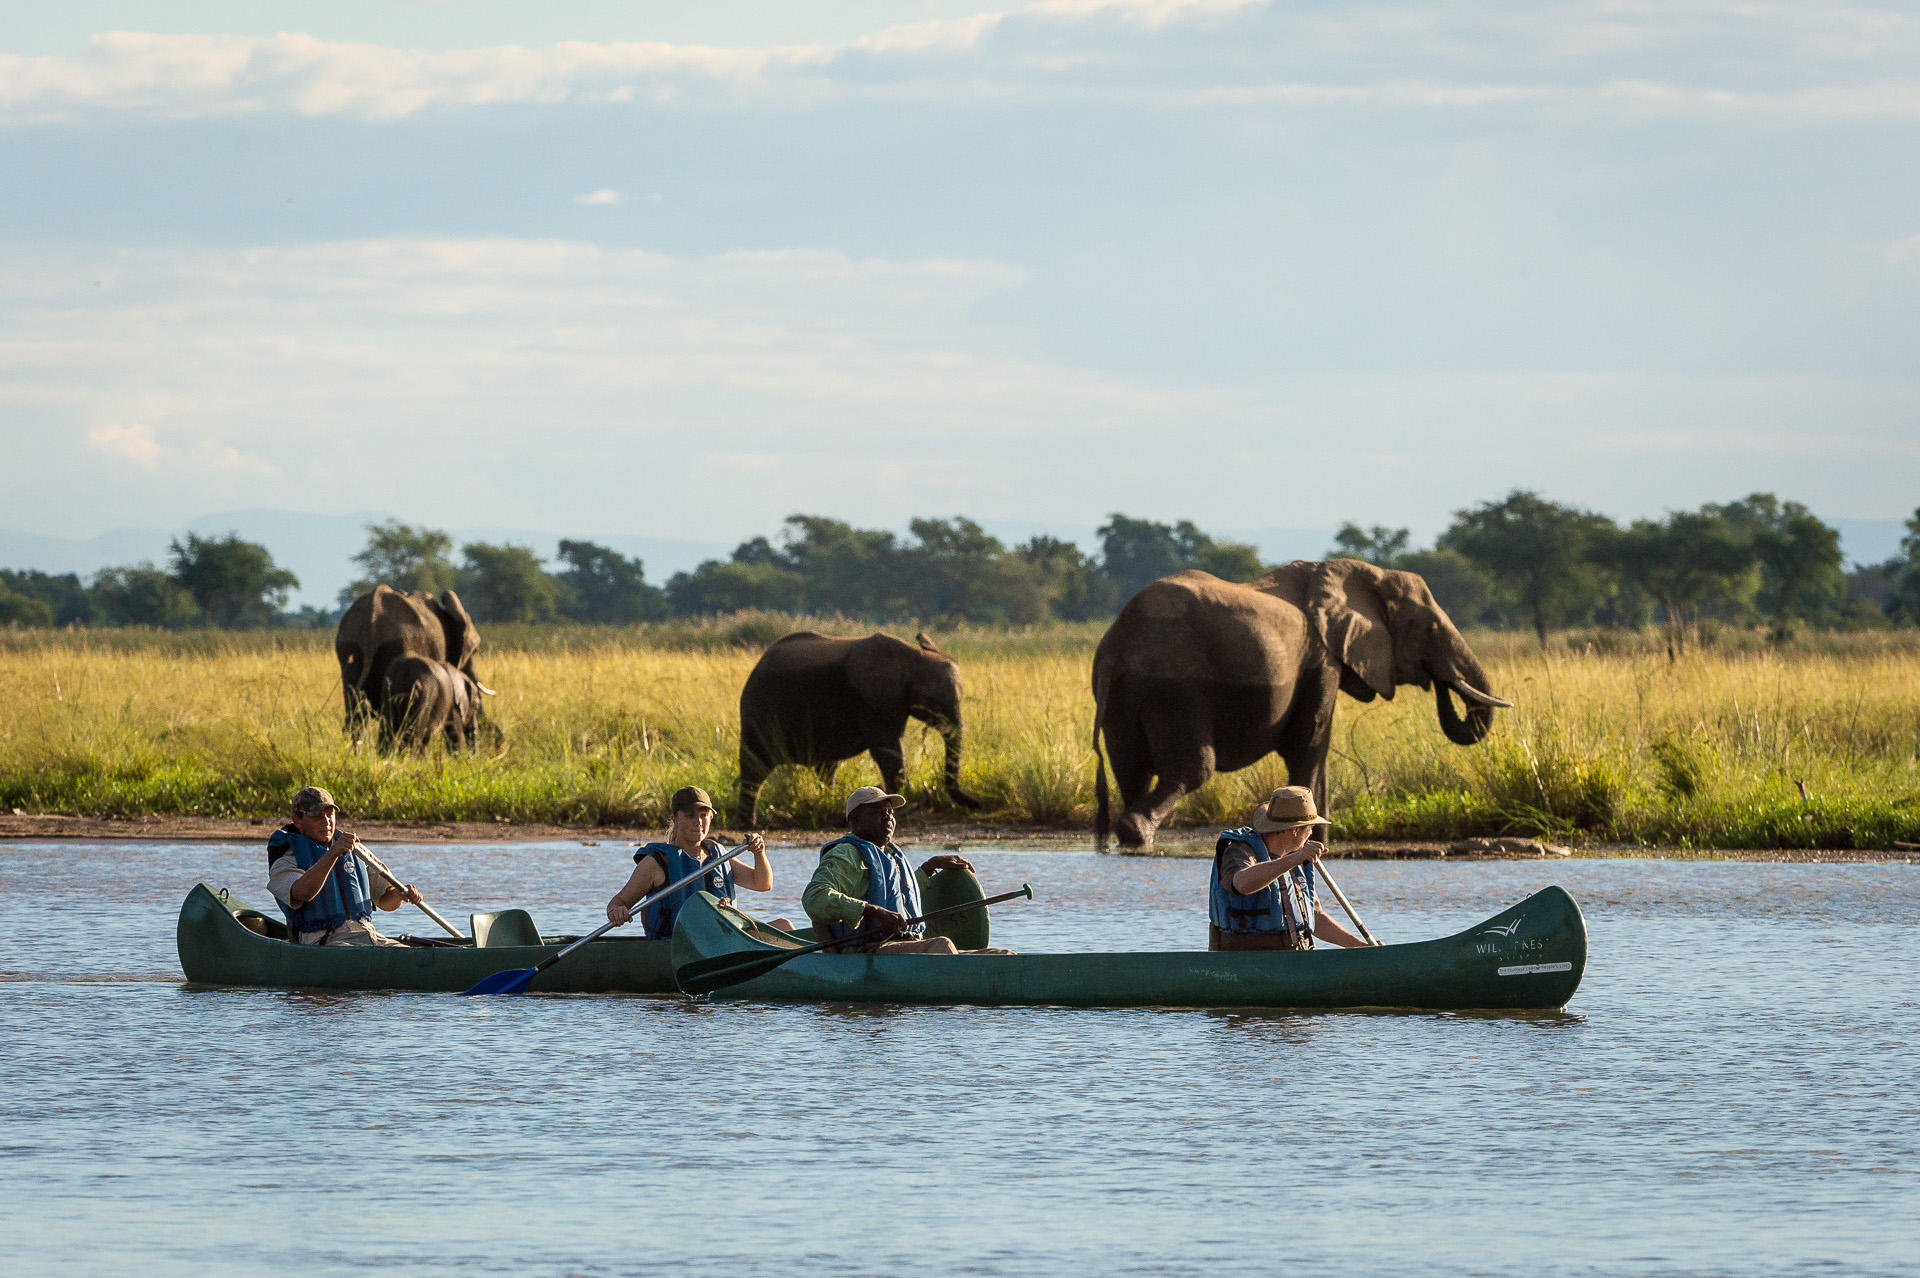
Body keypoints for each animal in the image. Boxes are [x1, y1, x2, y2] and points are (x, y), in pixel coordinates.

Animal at [729, 629, 983, 825]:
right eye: (932, 701)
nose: (978, 803)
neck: (913, 656)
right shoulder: (871, 701)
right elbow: (888, 749)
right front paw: (907, 798)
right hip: (759, 710)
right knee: (755, 766)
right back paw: (747, 824)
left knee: (826, 767)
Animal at [1090, 556, 1505, 844]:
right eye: (1428, 628)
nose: (1438, 681)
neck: (1362, 572)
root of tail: (1121, 639)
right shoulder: (1321, 659)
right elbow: (1310, 743)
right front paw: (1315, 841)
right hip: (1174, 686)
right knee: (1192, 769)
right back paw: (1137, 834)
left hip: (1123, 692)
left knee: (1131, 768)